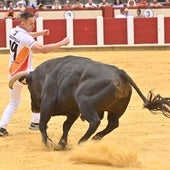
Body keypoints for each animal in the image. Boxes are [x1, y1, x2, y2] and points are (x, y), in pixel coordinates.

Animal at [8, 55, 170, 150]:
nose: (34, 108)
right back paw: (95, 138)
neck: (45, 74)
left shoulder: (47, 104)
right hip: (116, 110)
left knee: (95, 121)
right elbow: (66, 125)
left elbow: (43, 124)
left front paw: (48, 143)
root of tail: (120, 73)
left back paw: (82, 141)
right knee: (113, 123)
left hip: (85, 103)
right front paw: (61, 144)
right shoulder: (73, 111)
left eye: (29, 86)